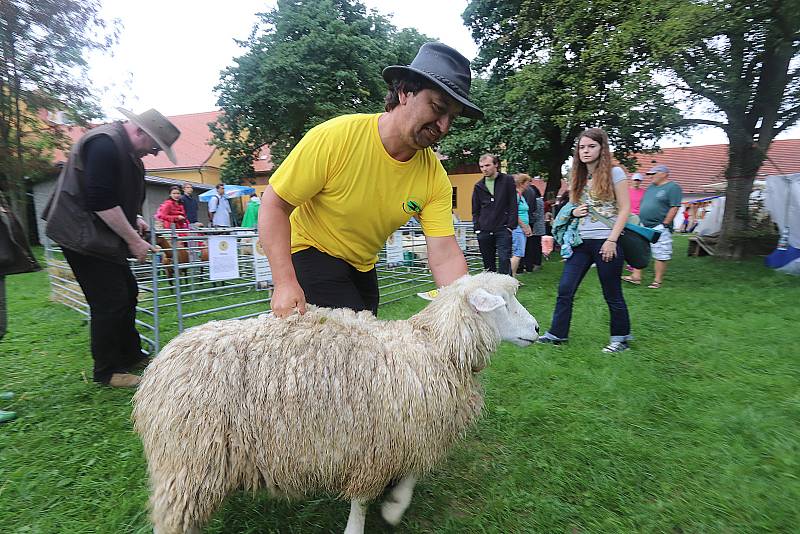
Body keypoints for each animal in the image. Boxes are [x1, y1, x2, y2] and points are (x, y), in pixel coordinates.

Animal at [134, 274, 540, 532]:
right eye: (503, 303)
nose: (537, 330)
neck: (436, 347)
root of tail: (157, 370)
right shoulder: (374, 446)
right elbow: (362, 500)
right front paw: (374, 518)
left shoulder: (410, 433)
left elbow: (411, 473)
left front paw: (394, 506)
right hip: (188, 459)